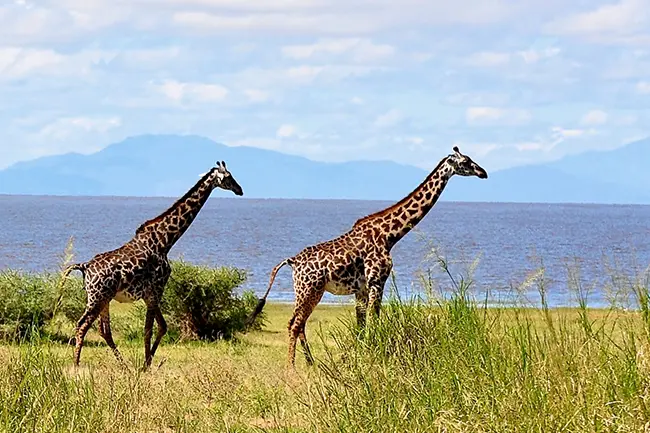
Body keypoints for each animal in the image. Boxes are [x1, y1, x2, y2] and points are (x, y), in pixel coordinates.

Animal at [59, 160, 242, 370]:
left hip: (104, 298)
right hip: (97, 298)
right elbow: (149, 329)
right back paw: (76, 364)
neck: (165, 242)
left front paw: (150, 361)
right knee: (82, 325)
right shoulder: (157, 289)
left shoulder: (150, 294)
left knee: (104, 330)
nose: (240, 190)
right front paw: (147, 364)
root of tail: (85, 266)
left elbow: (161, 326)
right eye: (228, 177)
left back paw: (124, 365)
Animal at [247, 145, 486, 364]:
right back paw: (292, 369)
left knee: (299, 324)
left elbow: (361, 326)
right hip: (310, 290)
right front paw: (374, 356)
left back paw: (311, 363)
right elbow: (375, 321)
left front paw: (360, 357)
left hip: (305, 291)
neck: (389, 235)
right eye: (466, 161)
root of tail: (292, 261)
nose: (483, 172)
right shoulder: (376, 281)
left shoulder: (361, 289)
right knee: (294, 324)